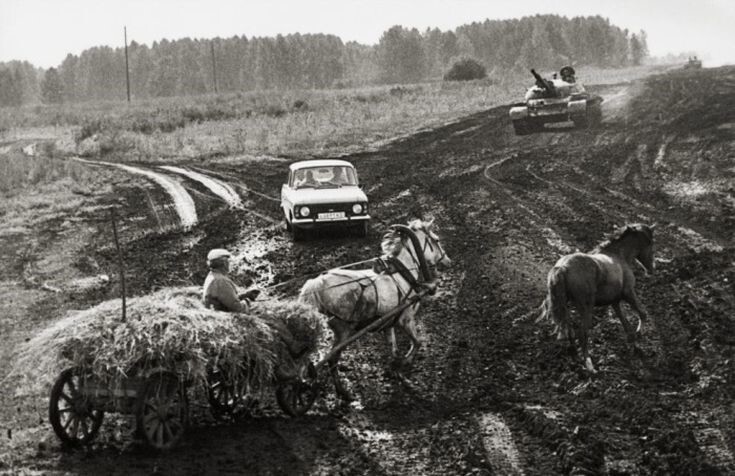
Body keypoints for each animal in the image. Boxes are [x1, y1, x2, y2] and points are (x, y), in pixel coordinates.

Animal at [298, 218, 448, 398]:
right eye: (437, 240)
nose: (447, 260)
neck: (402, 274)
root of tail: (317, 284)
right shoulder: (406, 319)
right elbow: (417, 343)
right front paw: (404, 363)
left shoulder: (389, 323)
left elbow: (393, 349)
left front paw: (397, 371)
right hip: (343, 331)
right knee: (332, 359)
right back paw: (342, 392)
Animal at [536, 223, 656, 372]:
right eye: (651, 244)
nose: (651, 269)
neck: (618, 255)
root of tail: (562, 267)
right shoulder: (629, 293)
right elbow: (642, 314)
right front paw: (638, 335)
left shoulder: (615, 302)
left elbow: (626, 323)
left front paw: (634, 344)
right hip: (586, 308)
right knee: (582, 334)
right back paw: (589, 366)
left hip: (566, 307)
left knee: (569, 331)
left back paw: (575, 357)